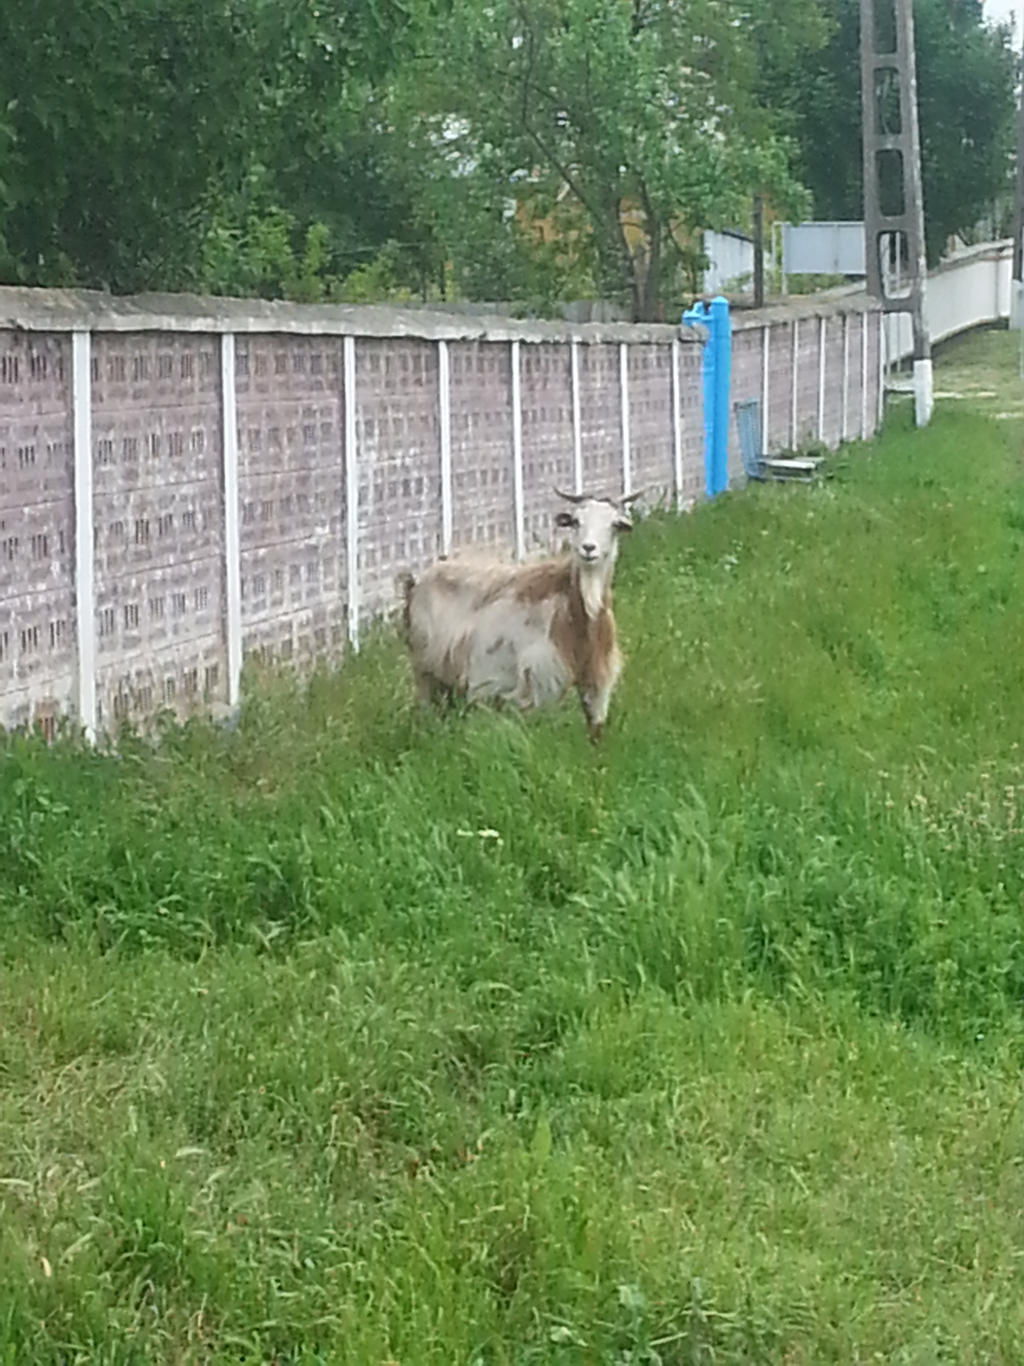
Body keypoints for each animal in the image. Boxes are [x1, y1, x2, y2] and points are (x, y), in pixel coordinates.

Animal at [401, 488, 640, 741]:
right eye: (576, 521)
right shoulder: (535, 685)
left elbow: (595, 733)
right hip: (425, 671)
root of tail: (419, 581)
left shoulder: (597, 683)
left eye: (614, 524)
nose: (588, 548)